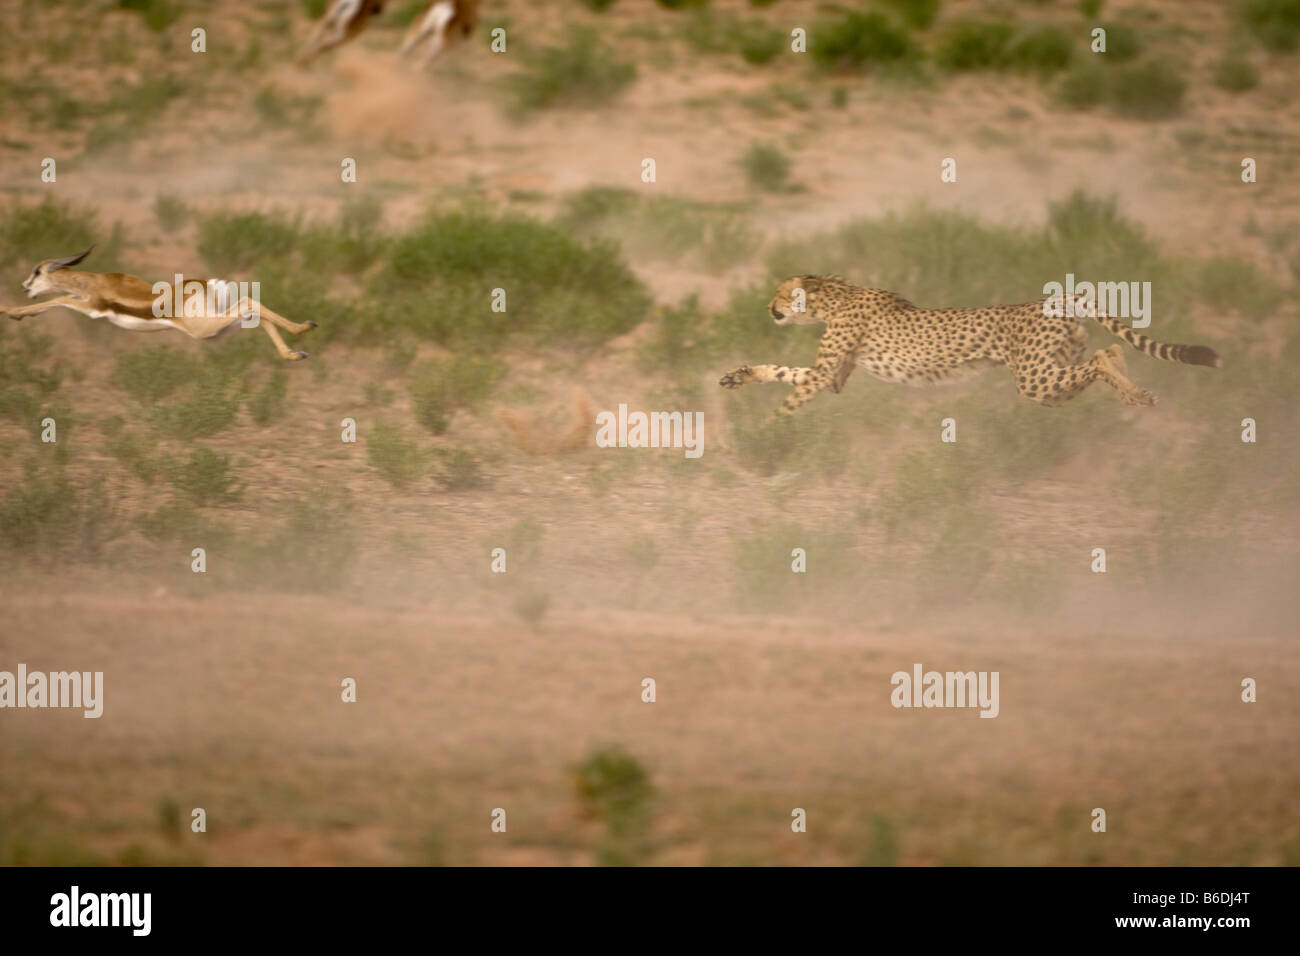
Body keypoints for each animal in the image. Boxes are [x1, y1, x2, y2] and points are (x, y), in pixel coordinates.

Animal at [722, 273, 1216, 416]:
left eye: (781, 293)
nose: (769, 307)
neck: (834, 296)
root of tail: (1053, 298)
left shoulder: (828, 370)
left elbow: (793, 396)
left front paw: (770, 430)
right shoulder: (836, 375)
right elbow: (786, 373)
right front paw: (742, 374)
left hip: (1034, 378)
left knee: (1102, 356)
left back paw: (1135, 394)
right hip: (1051, 372)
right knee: (1107, 354)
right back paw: (1137, 394)